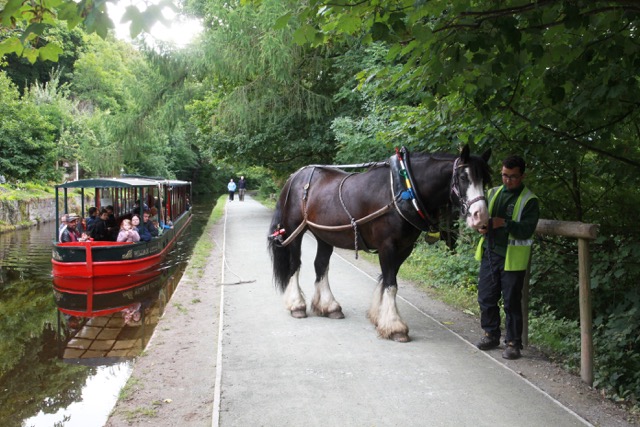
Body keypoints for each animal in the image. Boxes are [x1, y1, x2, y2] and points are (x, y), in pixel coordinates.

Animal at [264, 145, 490, 342]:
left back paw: (329, 306)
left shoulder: (404, 248)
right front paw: (395, 326)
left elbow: (386, 280)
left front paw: (378, 316)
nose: (480, 217)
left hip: (325, 235)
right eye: (463, 177)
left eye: (486, 179)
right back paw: (297, 306)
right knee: (295, 265)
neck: (403, 189)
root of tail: (294, 177)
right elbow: (391, 284)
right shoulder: (387, 246)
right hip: (295, 231)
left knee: (320, 265)